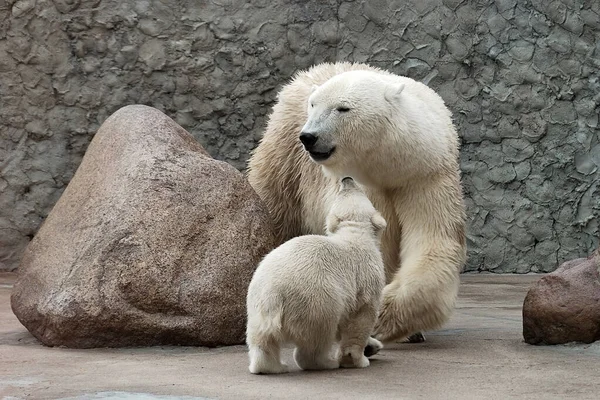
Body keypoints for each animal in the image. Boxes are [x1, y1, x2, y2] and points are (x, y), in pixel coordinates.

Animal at [246, 61, 466, 344]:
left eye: (342, 108)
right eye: (314, 105)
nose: (309, 136)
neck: (390, 165)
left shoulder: (425, 175)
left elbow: (433, 240)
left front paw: (389, 318)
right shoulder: (362, 185)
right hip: (285, 159)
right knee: (276, 206)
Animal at [246, 177, 386, 374]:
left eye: (344, 191)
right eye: (360, 192)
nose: (347, 179)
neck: (354, 234)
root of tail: (273, 295)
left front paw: (373, 346)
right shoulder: (368, 278)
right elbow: (361, 319)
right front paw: (357, 358)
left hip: (256, 306)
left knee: (262, 342)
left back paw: (274, 366)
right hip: (317, 300)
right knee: (318, 337)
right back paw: (326, 362)